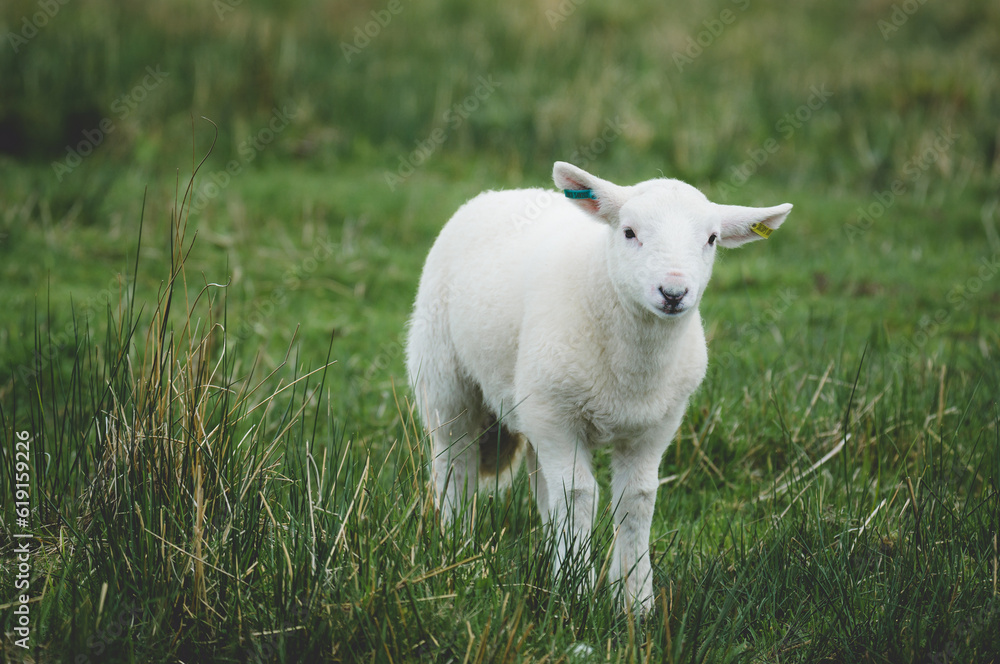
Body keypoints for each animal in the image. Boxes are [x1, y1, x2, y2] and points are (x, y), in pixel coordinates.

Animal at [405, 161, 792, 612]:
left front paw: (636, 601)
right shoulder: (557, 416)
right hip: (445, 379)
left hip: (533, 406)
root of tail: (502, 192)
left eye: (712, 239)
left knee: (541, 484)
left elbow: (636, 499)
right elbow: (577, 495)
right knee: (455, 465)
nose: (674, 292)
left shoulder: (655, 425)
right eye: (628, 232)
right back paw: (457, 551)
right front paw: (575, 593)